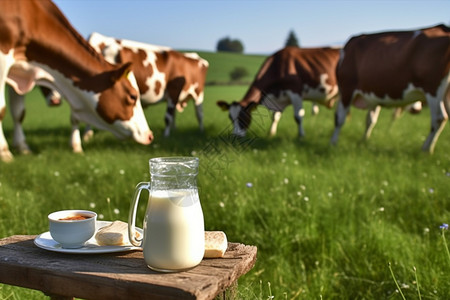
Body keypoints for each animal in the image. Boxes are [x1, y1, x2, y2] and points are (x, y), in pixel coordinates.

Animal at [0, 0, 153, 162]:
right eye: (133, 96)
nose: (149, 135)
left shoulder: (19, 73)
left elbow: (18, 112)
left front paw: (22, 147)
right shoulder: (3, 59)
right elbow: (2, 110)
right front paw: (4, 152)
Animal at [330, 24, 450, 154]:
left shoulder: (347, 88)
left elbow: (339, 118)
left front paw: (333, 143)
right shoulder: (373, 94)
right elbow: (370, 120)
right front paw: (363, 141)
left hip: (433, 88)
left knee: (439, 118)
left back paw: (426, 150)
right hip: (445, 94)